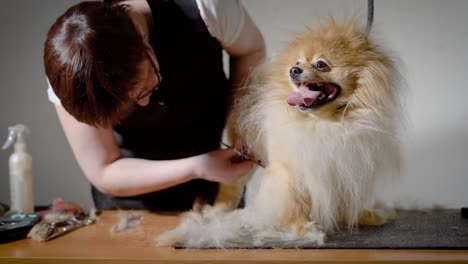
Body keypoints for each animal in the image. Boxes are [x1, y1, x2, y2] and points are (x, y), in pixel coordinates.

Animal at [156, 17, 402, 249]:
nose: (293, 71)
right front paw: (302, 228)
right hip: (243, 154)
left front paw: (363, 216)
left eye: (320, 64)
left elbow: (346, 200)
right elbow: (295, 203)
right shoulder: (290, 172)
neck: (327, 122)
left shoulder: (344, 168)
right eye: (297, 63)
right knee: (231, 185)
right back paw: (218, 212)